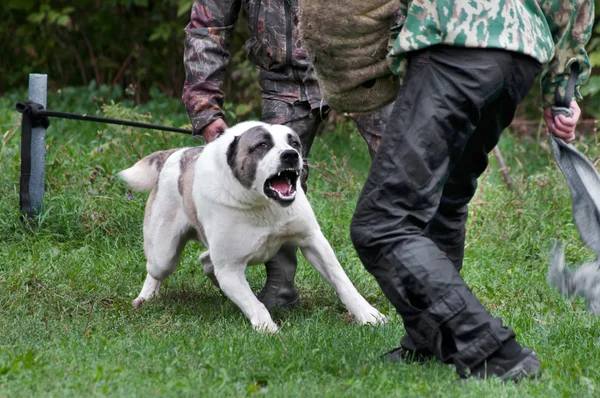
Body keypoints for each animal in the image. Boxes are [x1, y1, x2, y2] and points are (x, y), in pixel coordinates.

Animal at [119, 121, 386, 332]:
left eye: (294, 143)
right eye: (262, 145)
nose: (290, 155)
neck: (262, 204)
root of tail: (176, 154)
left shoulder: (314, 242)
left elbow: (342, 280)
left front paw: (369, 315)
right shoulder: (229, 269)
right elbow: (252, 302)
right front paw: (268, 329)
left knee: (206, 260)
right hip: (163, 254)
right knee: (156, 270)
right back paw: (146, 296)